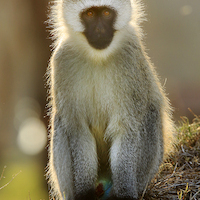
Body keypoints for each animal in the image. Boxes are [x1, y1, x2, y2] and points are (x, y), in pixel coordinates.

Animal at [46, 0, 174, 200]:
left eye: (106, 13)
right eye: (90, 14)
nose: (99, 30)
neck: (97, 57)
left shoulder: (130, 57)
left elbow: (127, 127)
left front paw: (124, 194)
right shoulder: (61, 60)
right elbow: (77, 130)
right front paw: (84, 193)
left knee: (149, 114)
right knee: (61, 122)